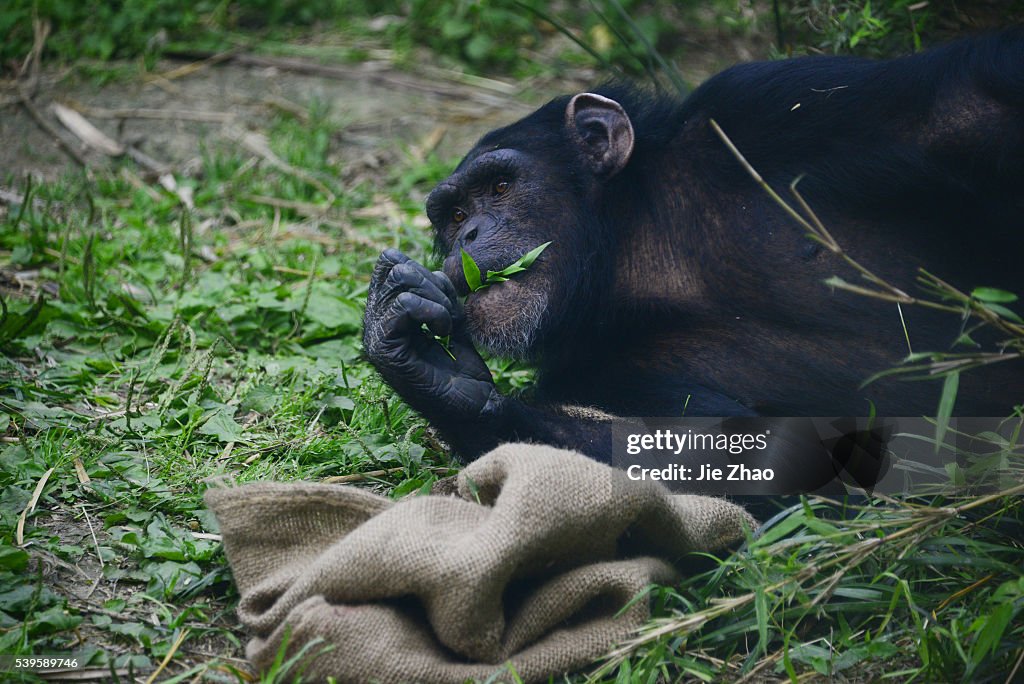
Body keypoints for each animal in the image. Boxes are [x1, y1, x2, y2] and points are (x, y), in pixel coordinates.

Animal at [362, 31, 1024, 471]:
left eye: (500, 186)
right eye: (453, 217)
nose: (468, 237)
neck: (648, 258)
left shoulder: (774, 105)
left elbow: (966, 104)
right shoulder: (598, 373)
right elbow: (728, 455)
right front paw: (431, 363)